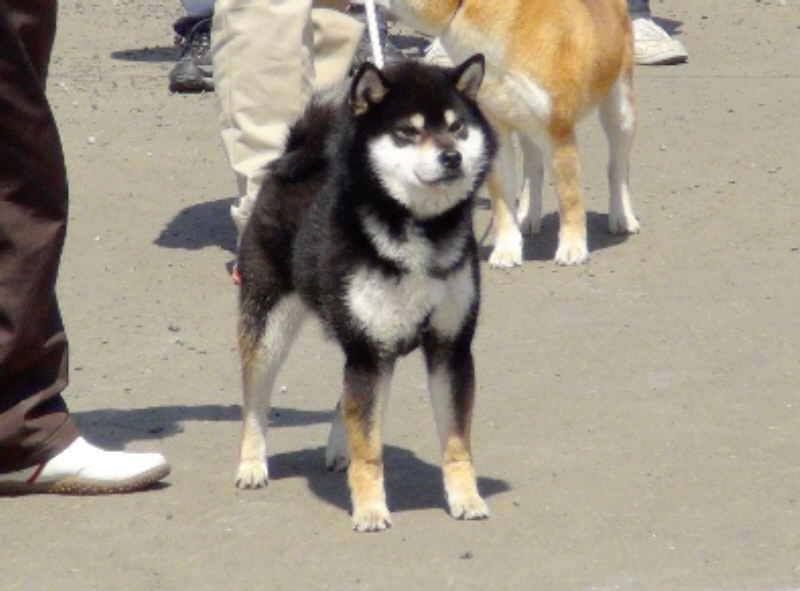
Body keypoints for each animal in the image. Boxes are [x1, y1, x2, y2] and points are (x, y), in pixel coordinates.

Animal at [234, 55, 497, 532]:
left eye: (457, 127)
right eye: (408, 131)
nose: (451, 156)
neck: (418, 229)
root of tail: (294, 158)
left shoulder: (448, 347)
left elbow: (454, 443)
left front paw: (466, 497)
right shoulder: (371, 351)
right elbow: (370, 449)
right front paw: (371, 508)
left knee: (345, 401)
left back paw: (338, 447)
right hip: (268, 327)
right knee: (255, 404)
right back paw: (251, 464)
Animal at [389, 0, 640, 267]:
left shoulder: (558, 133)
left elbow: (569, 197)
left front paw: (573, 247)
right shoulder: (497, 134)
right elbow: (502, 201)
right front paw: (506, 249)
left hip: (620, 112)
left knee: (617, 169)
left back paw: (622, 216)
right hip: (527, 126)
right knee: (533, 169)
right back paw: (528, 215)